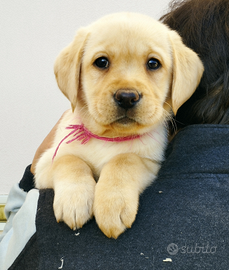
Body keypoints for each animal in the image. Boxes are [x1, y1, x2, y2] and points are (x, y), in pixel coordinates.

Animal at [35, 12, 204, 238]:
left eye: (153, 63)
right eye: (101, 62)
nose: (127, 97)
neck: (109, 137)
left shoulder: (151, 163)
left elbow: (124, 160)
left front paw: (113, 204)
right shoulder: (44, 164)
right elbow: (69, 160)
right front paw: (75, 199)